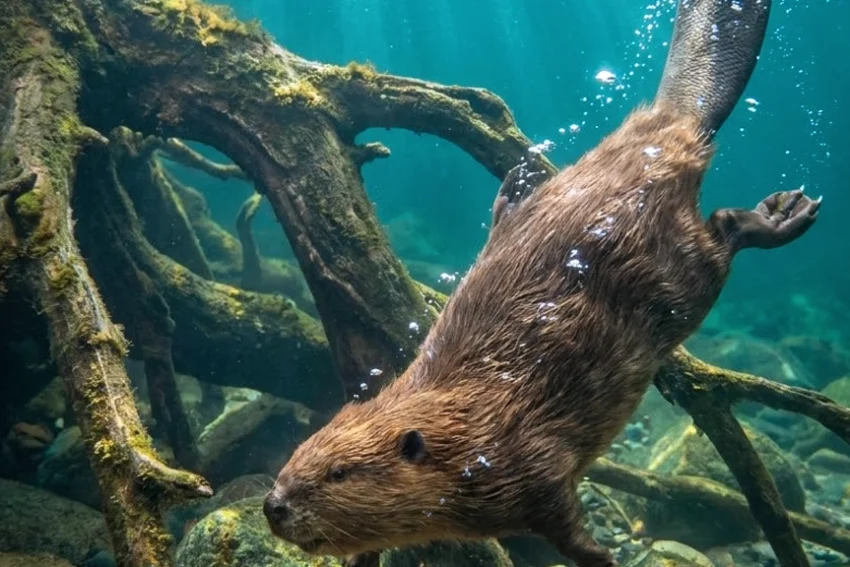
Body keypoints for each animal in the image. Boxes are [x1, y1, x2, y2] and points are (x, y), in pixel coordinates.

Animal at [264, 1, 821, 566]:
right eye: (295, 456)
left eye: (338, 473)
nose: (273, 505)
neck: (465, 426)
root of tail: (675, 122)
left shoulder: (529, 459)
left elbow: (563, 519)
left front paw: (603, 556)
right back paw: (516, 183)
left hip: (685, 278)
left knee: (724, 233)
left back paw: (784, 213)